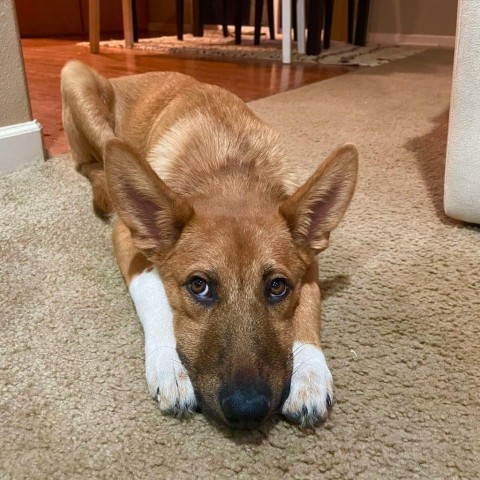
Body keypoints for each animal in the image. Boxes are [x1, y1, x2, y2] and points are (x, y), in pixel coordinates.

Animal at [61, 59, 356, 428]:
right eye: (198, 286)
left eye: (277, 287)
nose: (247, 410)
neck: (230, 172)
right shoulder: (128, 240)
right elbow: (154, 293)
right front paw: (168, 366)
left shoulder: (309, 258)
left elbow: (309, 303)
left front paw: (311, 373)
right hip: (77, 80)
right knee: (93, 165)